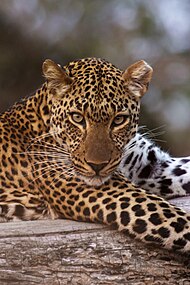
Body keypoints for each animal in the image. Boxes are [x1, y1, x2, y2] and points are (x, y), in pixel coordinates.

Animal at [0, 56, 190, 254]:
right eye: (77, 117)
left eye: (118, 120)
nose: (97, 166)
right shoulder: (119, 195)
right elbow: (179, 222)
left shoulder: (152, 166)